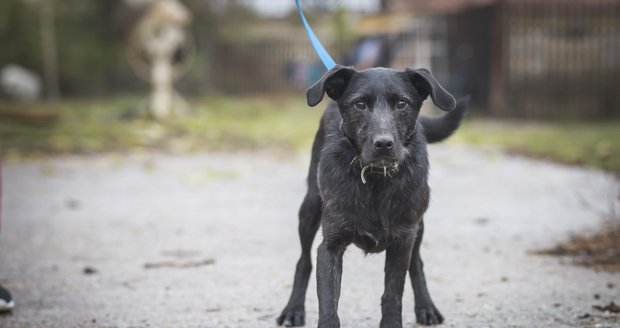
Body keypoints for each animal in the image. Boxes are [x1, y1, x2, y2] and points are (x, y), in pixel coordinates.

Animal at [276, 65, 464, 326]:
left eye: (402, 104)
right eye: (360, 104)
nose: (383, 143)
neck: (376, 179)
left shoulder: (403, 239)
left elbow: (393, 294)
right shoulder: (330, 246)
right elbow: (328, 303)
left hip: (419, 226)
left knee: (417, 264)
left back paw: (426, 307)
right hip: (310, 209)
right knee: (303, 262)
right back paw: (293, 310)